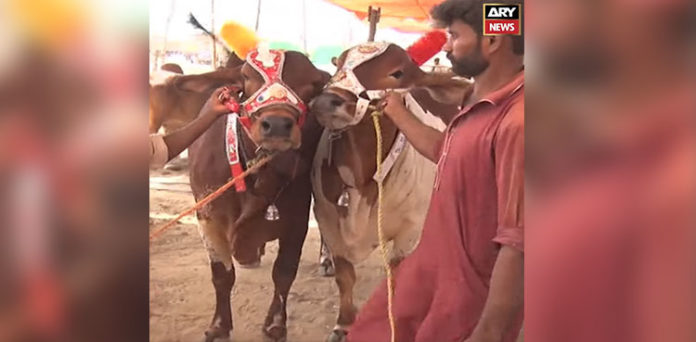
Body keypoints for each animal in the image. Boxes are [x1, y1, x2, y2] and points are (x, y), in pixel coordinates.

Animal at [186, 48, 330, 342]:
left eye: (312, 83)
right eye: (246, 78)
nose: (276, 124)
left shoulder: (297, 219)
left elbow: (284, 272)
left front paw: (275, 323)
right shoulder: (207, 217)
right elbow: (222, 275)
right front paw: (219, 325)